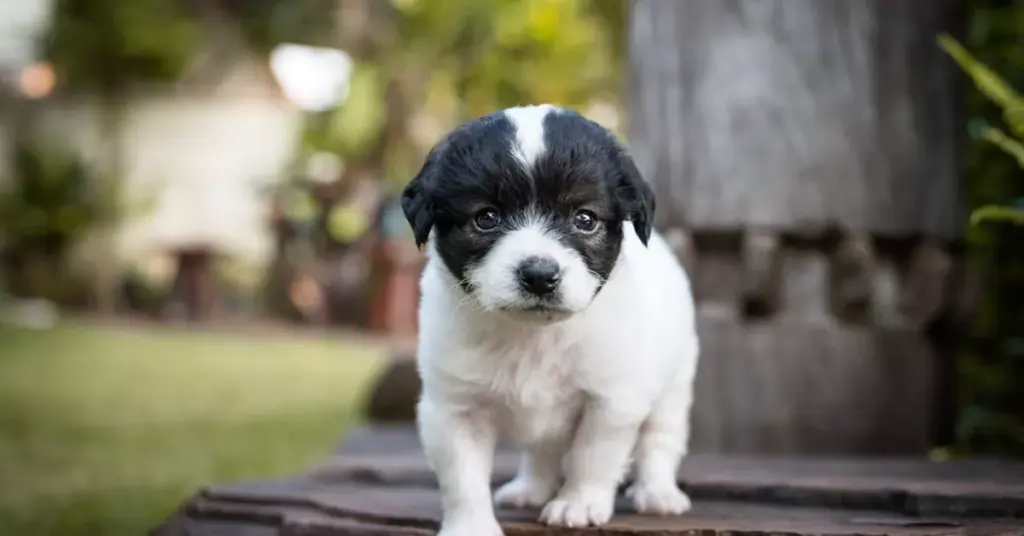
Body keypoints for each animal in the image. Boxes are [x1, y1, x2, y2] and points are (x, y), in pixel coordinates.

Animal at [403, 105, 700, 536]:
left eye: (585, 219)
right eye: (486, 218)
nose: (540, 275)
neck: (534, 336)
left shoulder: (612, 400)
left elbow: (593, 456)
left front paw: (578, 503)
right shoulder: (453, 409)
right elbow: (462, 477)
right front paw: (471, 526)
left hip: (674, 387)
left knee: (659, 441)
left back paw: (658, 493)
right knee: (540, 453)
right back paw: (531, 487)